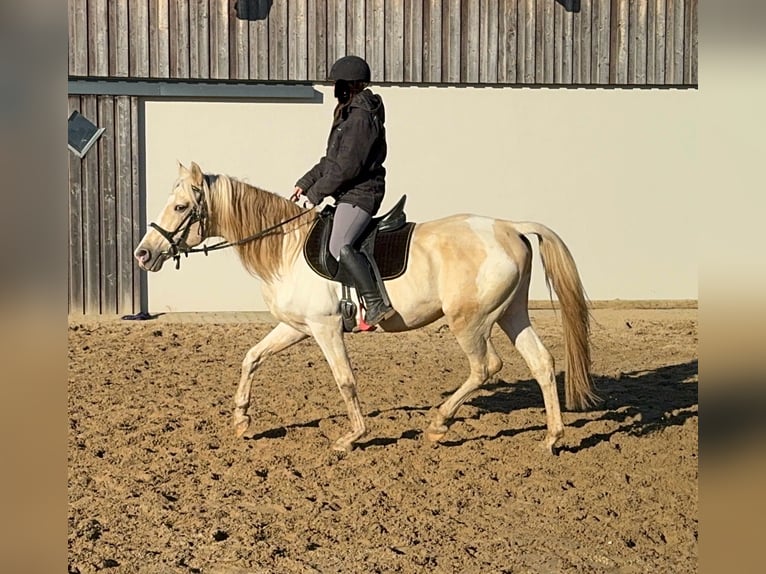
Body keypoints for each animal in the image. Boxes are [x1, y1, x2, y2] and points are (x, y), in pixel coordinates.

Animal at [135, 162, 596, 454]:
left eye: (180, 207)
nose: (143, 254)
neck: (285, 249)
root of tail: (509, 227)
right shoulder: (296, 327)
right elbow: (252, 358)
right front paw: (242, 421)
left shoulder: (324, 329)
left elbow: (345, 381)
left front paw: (351, 437)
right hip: (512, 313)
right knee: (541, 362)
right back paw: (552, 437)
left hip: (471, 321)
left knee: (485, 368)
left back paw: (438, 425)